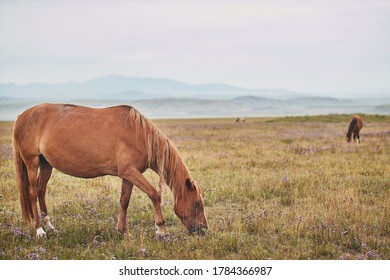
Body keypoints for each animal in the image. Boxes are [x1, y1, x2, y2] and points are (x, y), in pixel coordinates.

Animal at [12, 103, 207, 238]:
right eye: (197, 203)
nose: (203, 230)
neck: (138, 134)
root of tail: (22, 116)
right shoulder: (130, 172)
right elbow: (154, 194)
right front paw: (161, 230)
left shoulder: (128, 175)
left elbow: (124, 201)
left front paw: (123, 231)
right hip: (32, 162)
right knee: (32, 193)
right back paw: (40, 231)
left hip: (46, 164)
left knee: (41, 191)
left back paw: (50, 226)